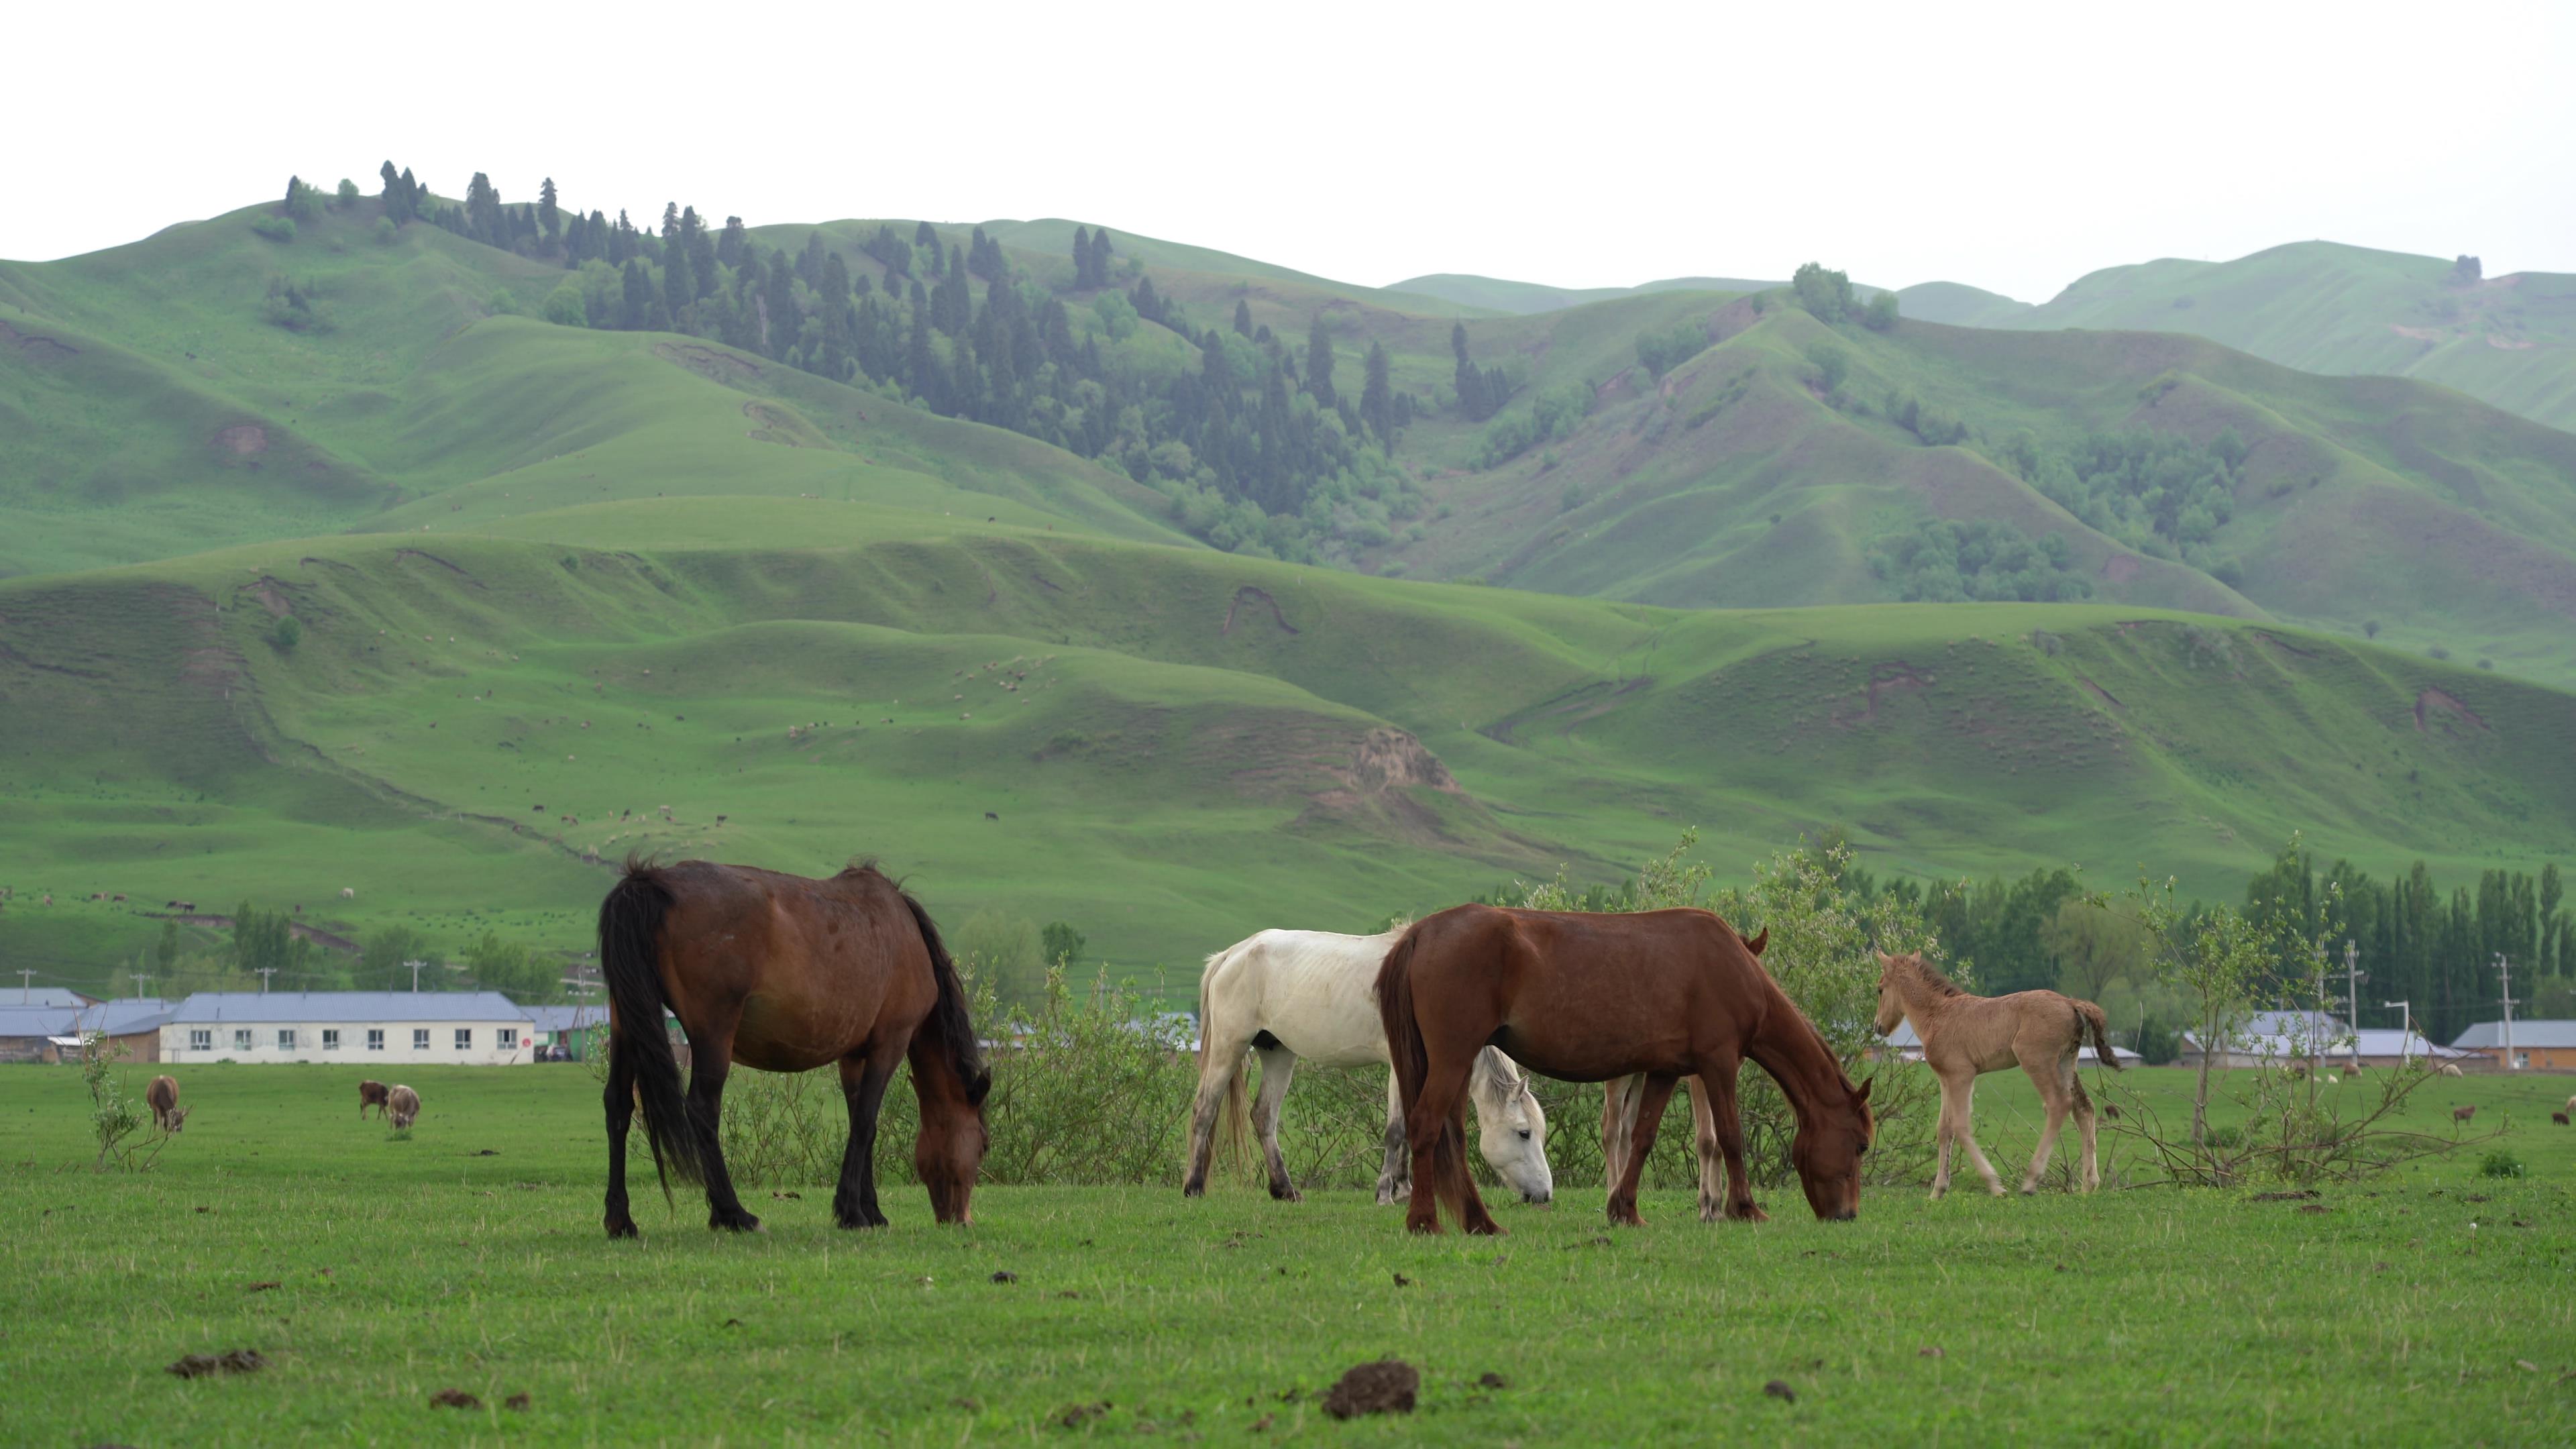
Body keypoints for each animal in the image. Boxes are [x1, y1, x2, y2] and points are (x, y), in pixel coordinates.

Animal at [597, 851, 989, 1237]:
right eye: (984, 1146)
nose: (962, 1219)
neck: (905, 933)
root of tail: (652, 881)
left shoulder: (853, 1056)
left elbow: (861, 1124)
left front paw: (870, 1209)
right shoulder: (890, 1044)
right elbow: (866, 1123)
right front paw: (852, 1212)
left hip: (627, 1024)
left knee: (618, 1104)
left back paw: (621, 1220)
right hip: (713, 1035)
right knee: (702, 1109)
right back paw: (734, 1214)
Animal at [1179, 918, 1546, 1201]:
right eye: (1524, 1133)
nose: (1544, 1195)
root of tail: (1232, 954)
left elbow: (1412, 1124)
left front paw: (1404, 1188)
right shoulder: (1400, 1064)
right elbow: (1397, 1129)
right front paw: (1385, 1192)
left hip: (1278, 1052)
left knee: (1264, 1116)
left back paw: (1285, 1190)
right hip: (1230, 1045)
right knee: (1205, 1110)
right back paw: (1194, 1186)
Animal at [1381, 902, 1885, 1227]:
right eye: (1861, 1145)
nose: (1847, 1214)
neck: (1735, 966)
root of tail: (1421, 933)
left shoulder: (1664, 1070)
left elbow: (1642, 1137)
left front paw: (1624, 1209)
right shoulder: (1720, 1064)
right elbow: (1730, 1136)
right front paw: (1745, 1208)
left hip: (1458, 1061)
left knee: (1453, 1136)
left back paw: (1478, 1221)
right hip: (1453, 1056)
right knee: (1426, 1127)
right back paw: (1425, 1220)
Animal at [1875, 949, 2112, 1196]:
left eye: (1880, 989)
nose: (1878, 1026)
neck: (1937, 1014)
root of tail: (2071, 1003)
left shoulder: (1961, 1075)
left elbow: (1961, 1126)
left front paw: (1995, 1185)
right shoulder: (1945, 1079)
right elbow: (1944, 1129)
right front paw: (1937, 1191)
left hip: (2037, 1062)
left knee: (2059, 1104)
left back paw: (2030, 1181)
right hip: (2066, 1062)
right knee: (2084, 1108)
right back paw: (2089, 1184)